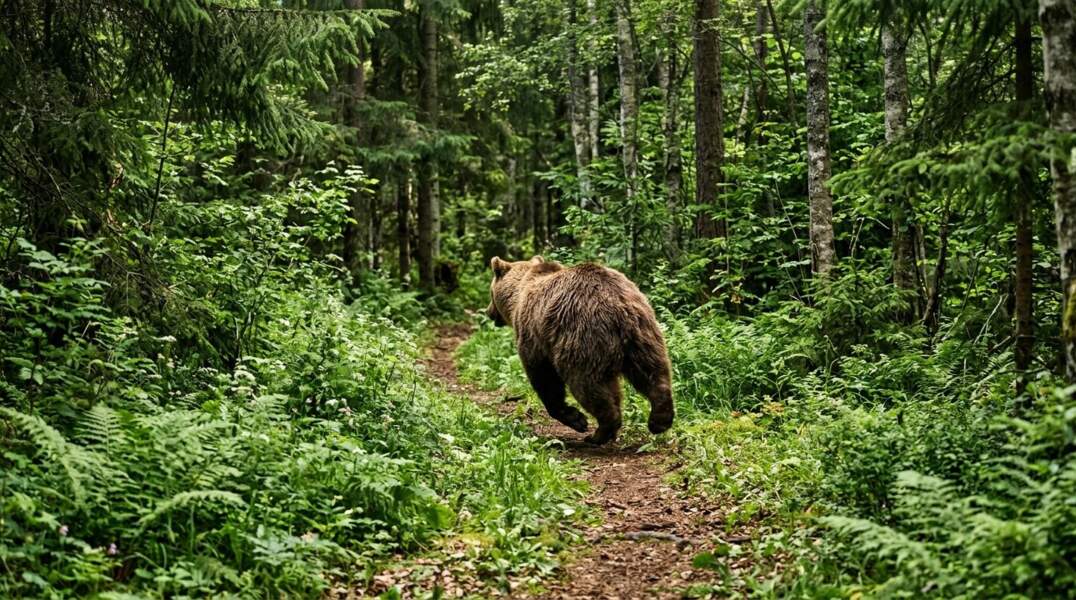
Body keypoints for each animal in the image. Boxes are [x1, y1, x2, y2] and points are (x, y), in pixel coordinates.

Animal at [485, 256, 674, 445]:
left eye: (491, 294)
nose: (488, 312)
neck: (518, 297)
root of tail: (619, 307)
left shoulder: (533, 334)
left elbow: (544, 377)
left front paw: (576, 418)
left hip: (583, 338)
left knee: (588, 384)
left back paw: (599, 433)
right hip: (644, 335)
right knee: (654, 374)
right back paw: (660, 420)